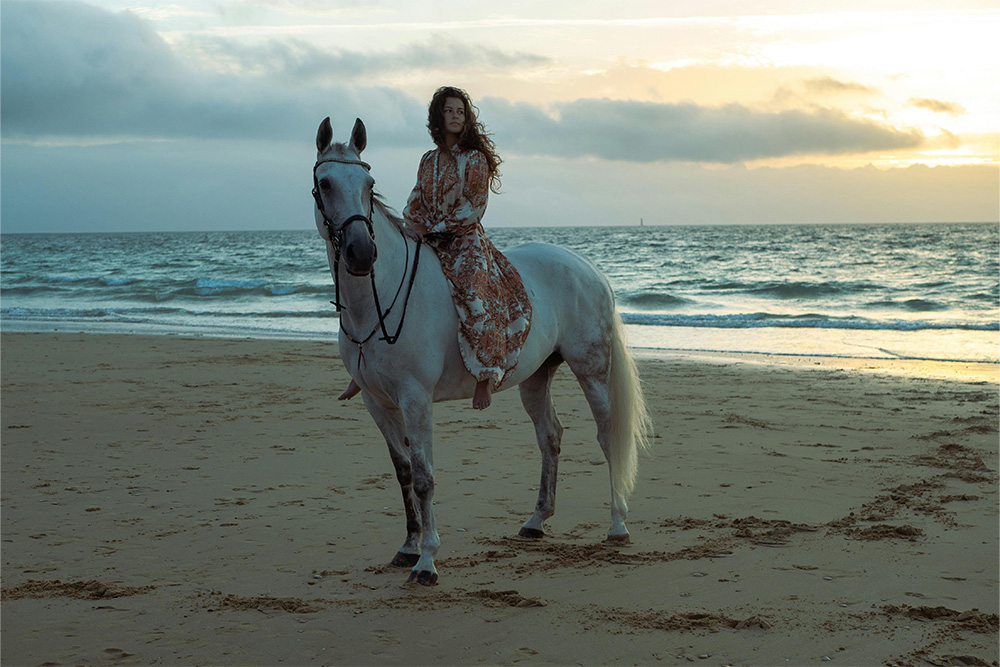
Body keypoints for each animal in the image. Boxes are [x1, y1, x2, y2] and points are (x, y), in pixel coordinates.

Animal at [316, 118, 652, 584]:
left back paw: (617, 525)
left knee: (607, 436)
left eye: (369, 184)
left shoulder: (416, 398)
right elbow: (403, 472)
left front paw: (427, 561)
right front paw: (408, 547)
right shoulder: (376, 401)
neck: (378, 300)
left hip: (592, 370)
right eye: (325, 183)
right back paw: (536, 521)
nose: (361, 253)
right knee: (550, 436)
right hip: (535, 377)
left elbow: (424, 477)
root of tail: (590, 268)